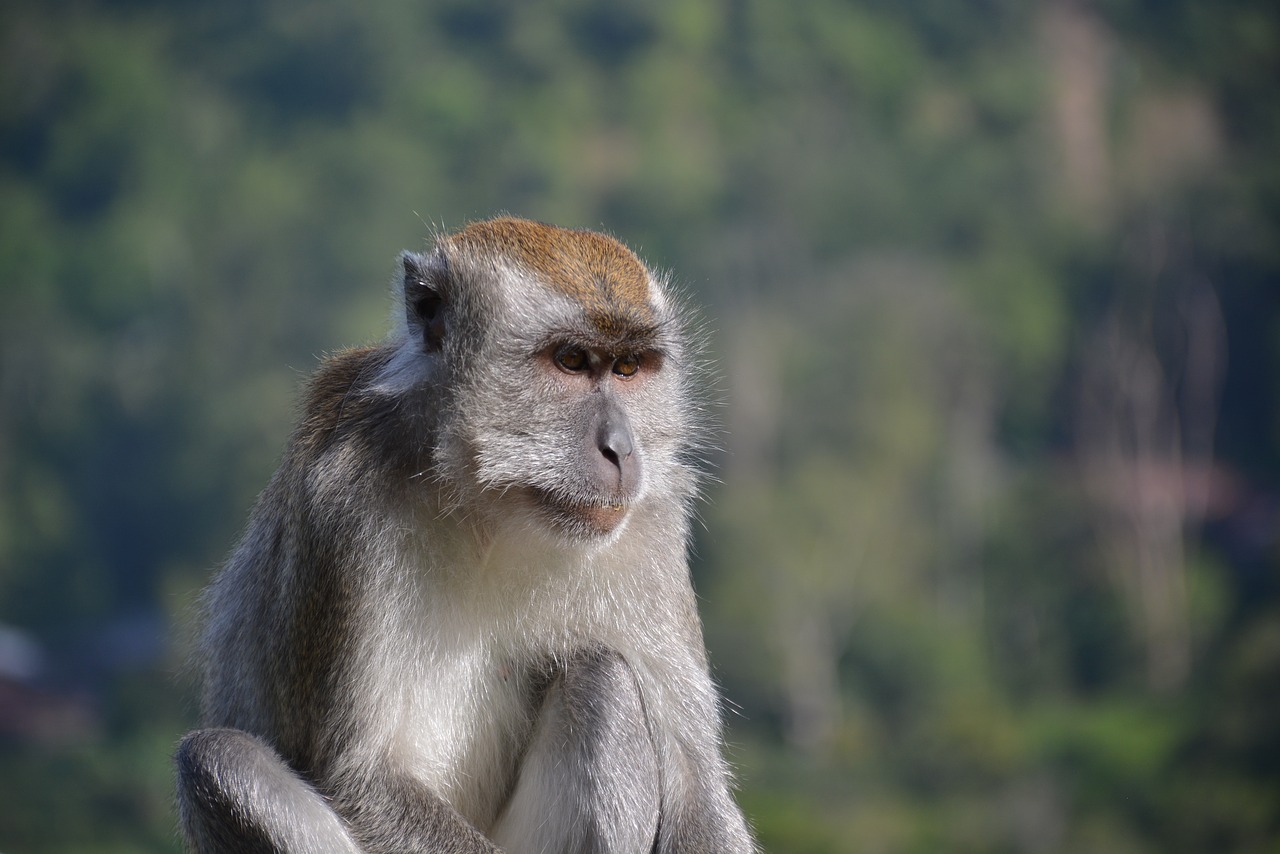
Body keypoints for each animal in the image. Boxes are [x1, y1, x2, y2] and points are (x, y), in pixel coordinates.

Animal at [175, 217, 752, 850]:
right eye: (572, 360)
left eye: (628, 369)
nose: (622, 449)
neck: (487, 507)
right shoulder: (343, 504)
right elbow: (362, 779)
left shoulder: (649, 523)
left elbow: (697, 789)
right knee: (221, 759)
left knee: (604, 680)